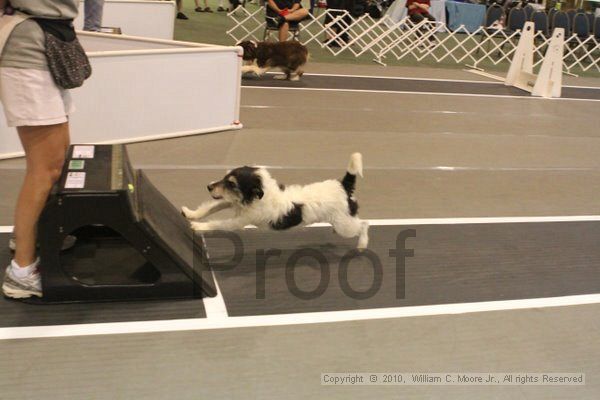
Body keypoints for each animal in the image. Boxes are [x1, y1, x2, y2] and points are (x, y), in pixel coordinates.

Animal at [183, 152, 368, 247]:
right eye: (224, 178)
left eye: (231, 183)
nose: (208, 186)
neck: (262, 195)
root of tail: (343, 185)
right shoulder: (231, 201)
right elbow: (209, 208)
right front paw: (190, 213)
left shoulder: (239, 221)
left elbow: (218, 223)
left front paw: (199, 226)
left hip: (345, 226)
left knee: (364, 224)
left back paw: (363, 243)